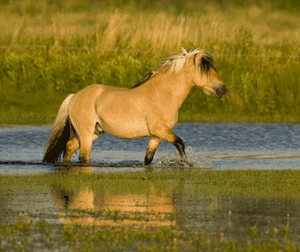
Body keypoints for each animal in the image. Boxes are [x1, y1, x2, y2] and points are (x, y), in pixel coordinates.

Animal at [41, 47, 225, 165]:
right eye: (205, 69)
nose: (223, 89)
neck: (163, 94)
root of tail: (74, 96)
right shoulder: (160, 130)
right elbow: (180, 144)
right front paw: (185, 164)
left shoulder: (156, 136)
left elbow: (148, 159)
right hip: (86, 134)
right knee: (83, 157)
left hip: (95, 131)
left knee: (70, 146)